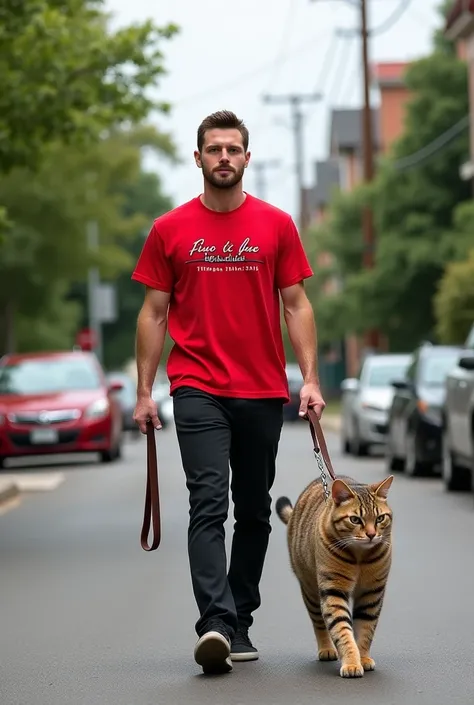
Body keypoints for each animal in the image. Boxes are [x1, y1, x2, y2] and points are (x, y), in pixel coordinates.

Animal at [276, 472, 394, 676]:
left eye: (380, 518)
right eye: (355, 520)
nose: (372, 534)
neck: (360, 556)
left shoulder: (371, 593)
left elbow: (365, 629)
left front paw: (363, 657)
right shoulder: (333, 590)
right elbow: (342, 629)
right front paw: (352, 662)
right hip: (310, 590)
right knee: (319, 622)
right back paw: (327, 648)